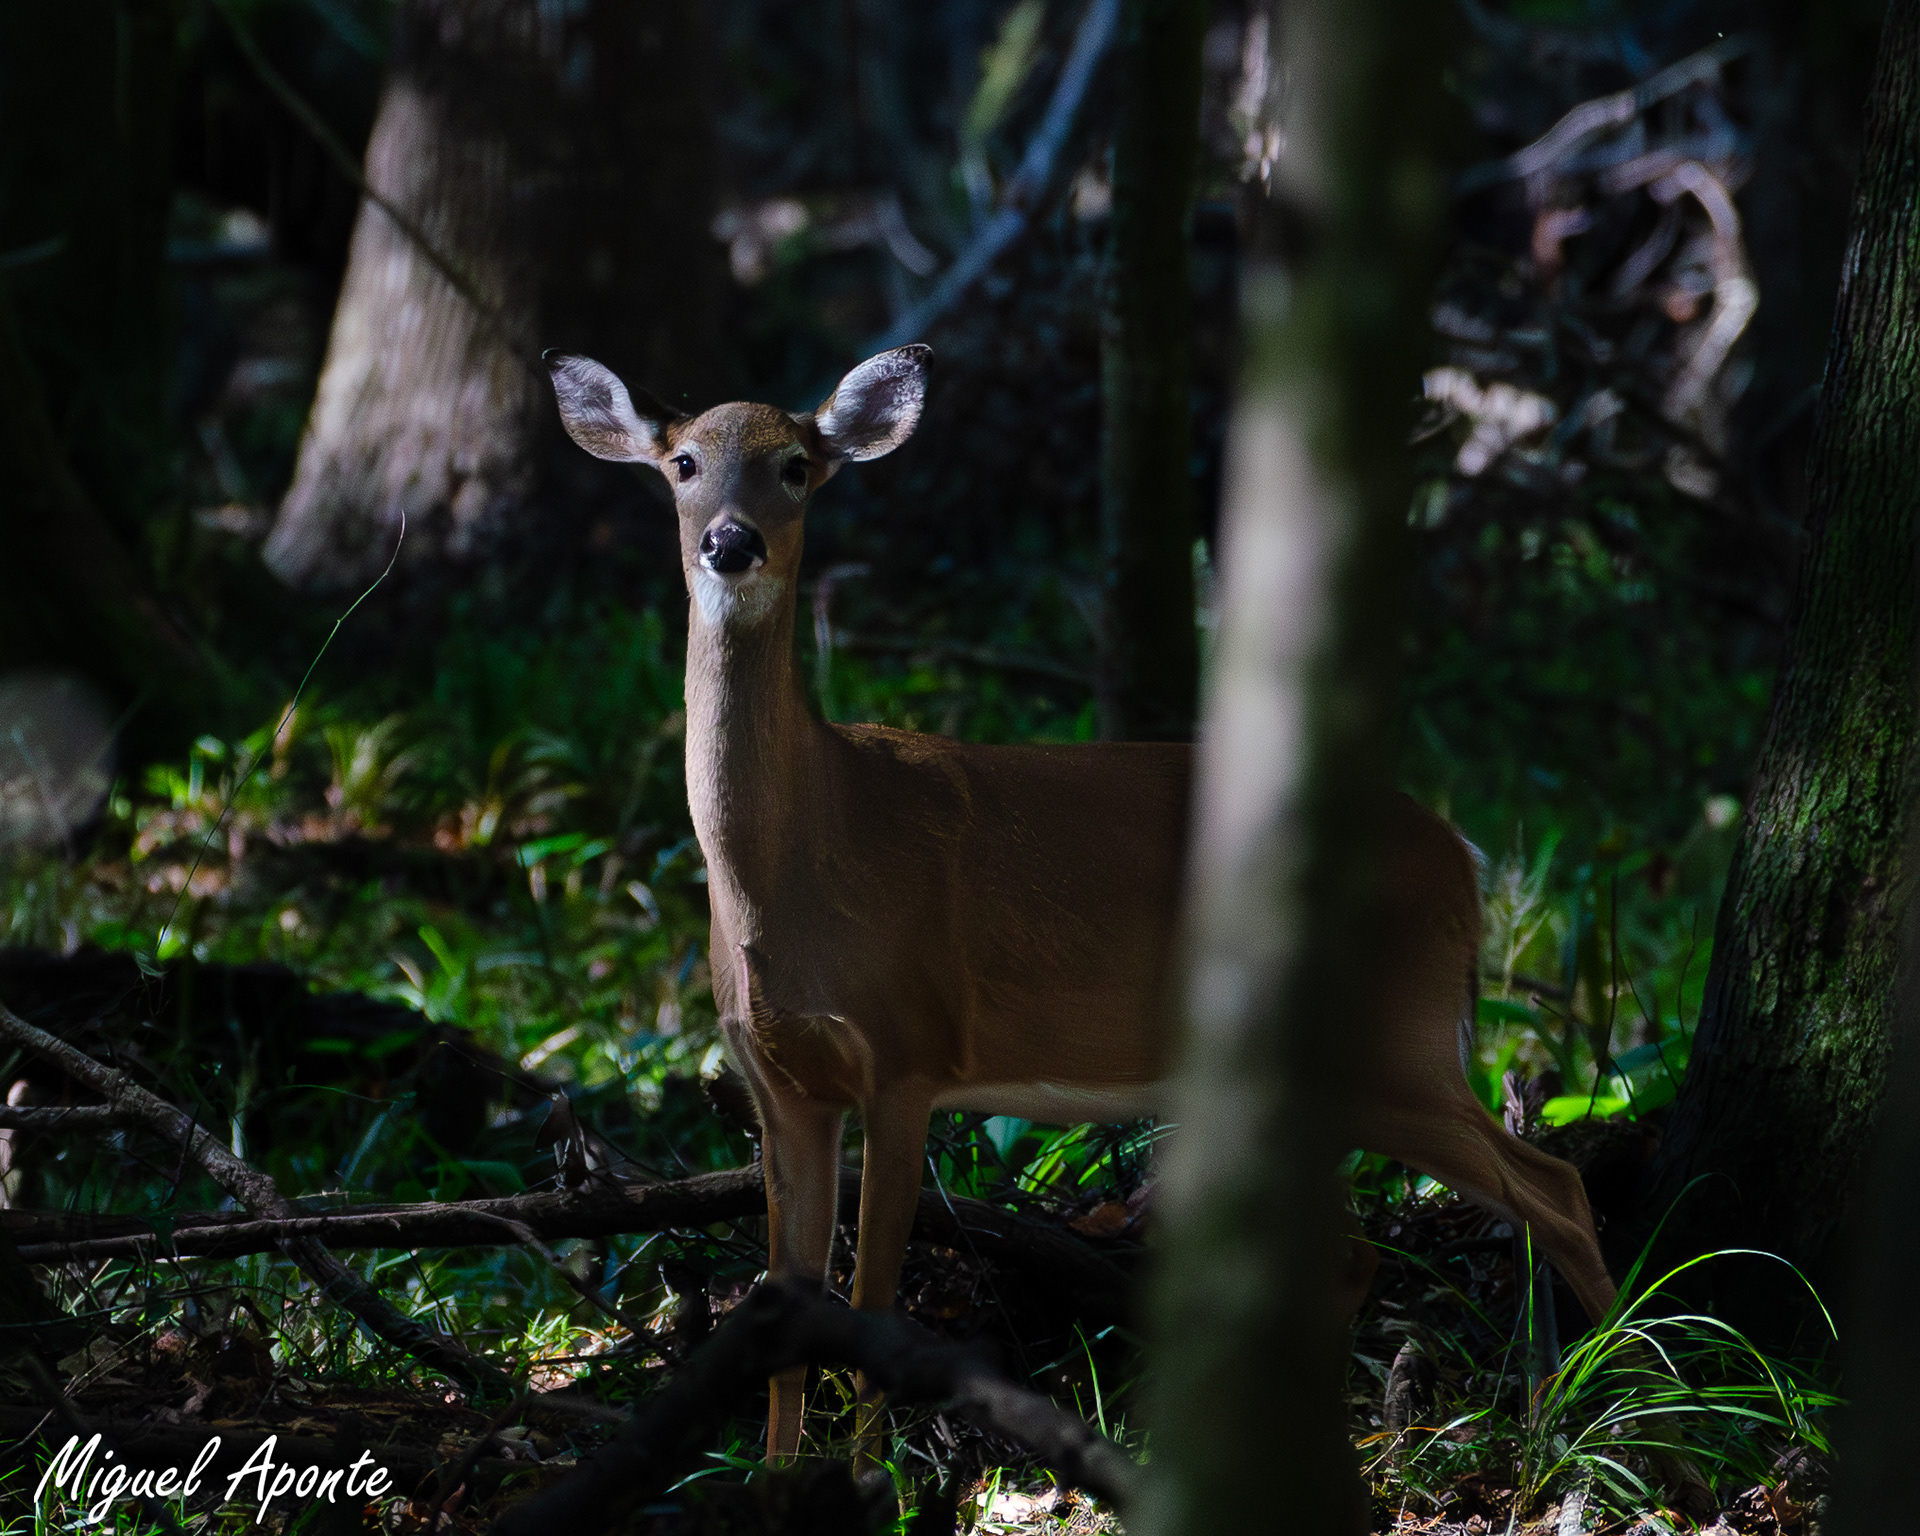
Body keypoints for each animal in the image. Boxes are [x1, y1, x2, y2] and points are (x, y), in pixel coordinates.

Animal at [547, 343, 1619, 1460]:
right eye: (681, 463)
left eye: (797, 466)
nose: (731, 541)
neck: (799, 860)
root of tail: (1462, 855)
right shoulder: (778, 1086)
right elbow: (783, 1311)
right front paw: (779, 1479)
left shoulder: (910, 1052)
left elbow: (873, 1297)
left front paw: (870, 1476)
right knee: (1361, 1248)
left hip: (1398, 1042)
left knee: (1556, 1190)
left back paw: (1617, 1408)